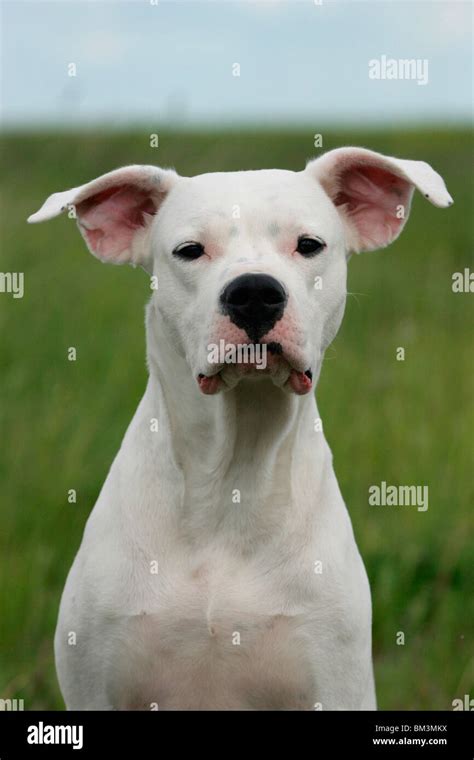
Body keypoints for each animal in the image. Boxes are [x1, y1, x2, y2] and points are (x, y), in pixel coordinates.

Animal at [27, 148, 450, 712]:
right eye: (189, 251)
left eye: (309, 245)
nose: (254, 293)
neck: (232, 477)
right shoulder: (95, 685)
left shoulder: (335, 684)